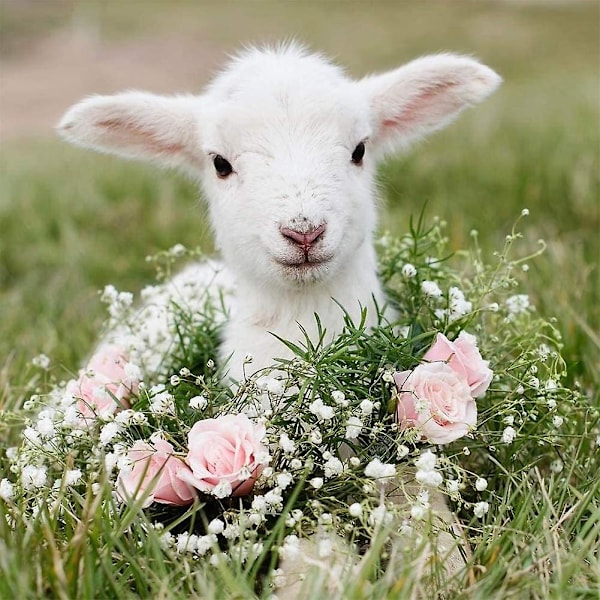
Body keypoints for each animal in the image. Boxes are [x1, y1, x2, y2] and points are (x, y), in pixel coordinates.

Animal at [58, 44, 502, 592]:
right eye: (220, 163)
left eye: (359, 150)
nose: (304, 231)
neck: (305, 326)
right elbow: (313, 534)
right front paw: (316, 580)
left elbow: (422, 502)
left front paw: (438, 569)